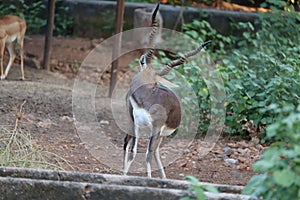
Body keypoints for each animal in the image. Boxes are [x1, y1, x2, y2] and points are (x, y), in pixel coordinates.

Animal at [122, 3, 211, 178]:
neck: (146, 98)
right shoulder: (137, 123)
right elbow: (135, 152)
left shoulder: (155, 128)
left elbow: (147, 154)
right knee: (143, 148)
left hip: (156, 132)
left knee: (153, 151)